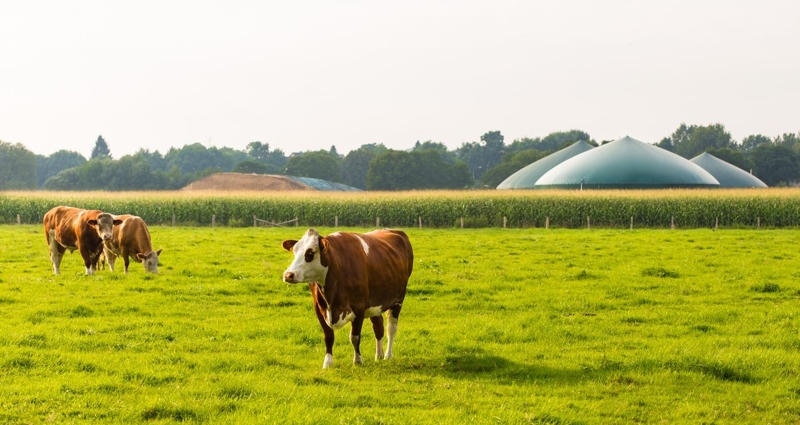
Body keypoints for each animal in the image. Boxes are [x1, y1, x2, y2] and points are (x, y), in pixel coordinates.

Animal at [282, 228, 413, 369]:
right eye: (295, 251)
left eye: (310, 252)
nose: (288, 275)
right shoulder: (319, 307)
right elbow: (328, 336)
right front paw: (327, 363)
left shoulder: (359, 307)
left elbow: (354, 337)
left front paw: (358, 361)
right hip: (375, 302)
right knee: (378, 326)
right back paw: (379, 355)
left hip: (399, 299)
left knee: (391, 328)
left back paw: (388, 355)